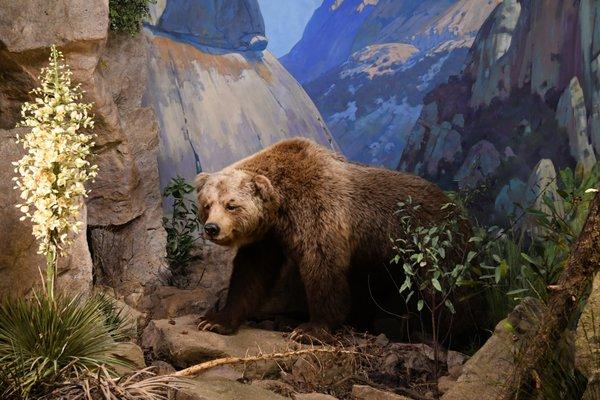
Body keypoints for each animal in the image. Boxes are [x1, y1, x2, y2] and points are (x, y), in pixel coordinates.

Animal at [195, 139, 480, 342]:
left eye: (231, 205)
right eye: (208, 204)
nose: (212, 228)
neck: (280, 207)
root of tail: (459, 209)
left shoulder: (319, 214)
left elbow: (322, 268)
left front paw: (310, 329)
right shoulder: (267, 238)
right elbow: (250, 276)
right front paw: (215, 320)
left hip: (433, 245)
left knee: (447, 292)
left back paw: (448, 334)